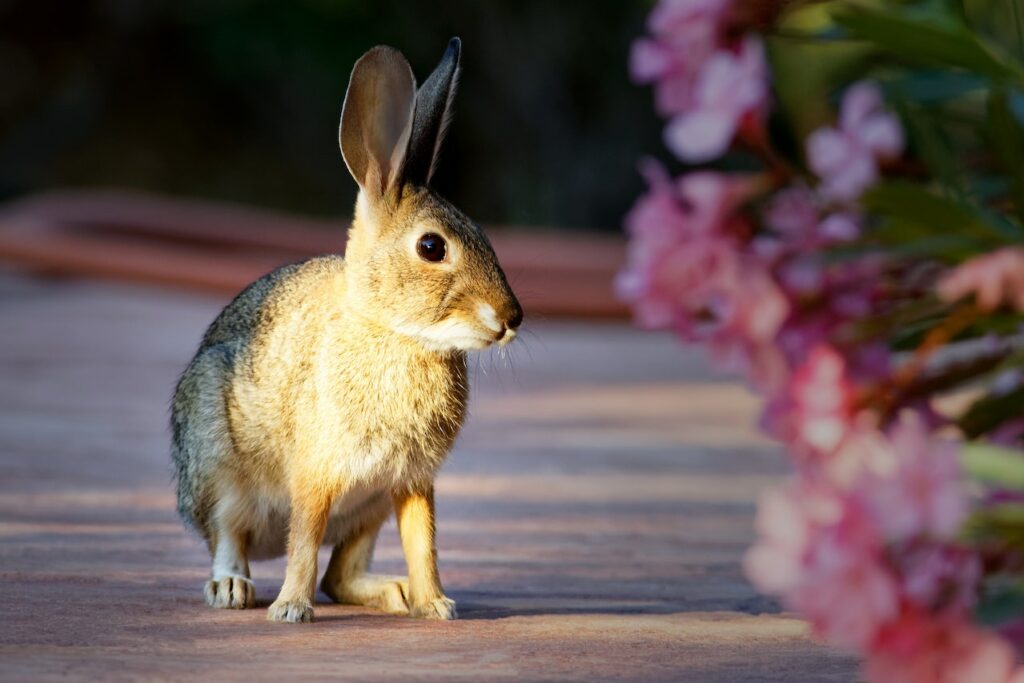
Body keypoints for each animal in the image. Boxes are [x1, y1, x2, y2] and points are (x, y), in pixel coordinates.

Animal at [172, 38, 524, 626]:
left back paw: (396, 594)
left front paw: (437, 605)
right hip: (217, 464)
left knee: (340, 577)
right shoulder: (316, 474)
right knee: (230, 536)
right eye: (432, 247)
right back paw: (233, 588)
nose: (512, 317)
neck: (394, 332)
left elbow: (423, 544)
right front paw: (291, 610)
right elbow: (303, 543)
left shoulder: (409, 482)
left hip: (368, 509)